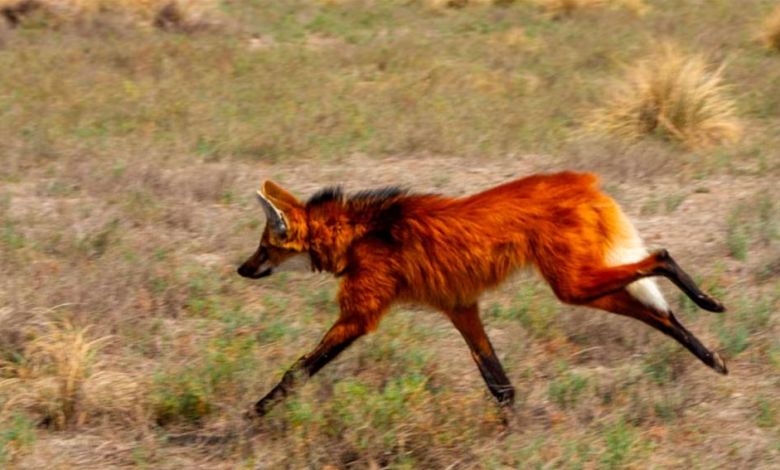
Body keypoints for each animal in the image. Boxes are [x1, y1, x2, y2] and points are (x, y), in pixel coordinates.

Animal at [238, 174, 724, 416]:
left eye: (264, 247)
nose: (242, 269)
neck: (358, 235)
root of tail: (583, 181)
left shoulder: (359, 317)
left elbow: (296, 372)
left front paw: (252, 417)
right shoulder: (460, 308)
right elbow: (501, 386)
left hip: (572, 283)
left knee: (659, 256)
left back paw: (708, 303)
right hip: (580, 284)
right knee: (659, 314)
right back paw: (713, 358)